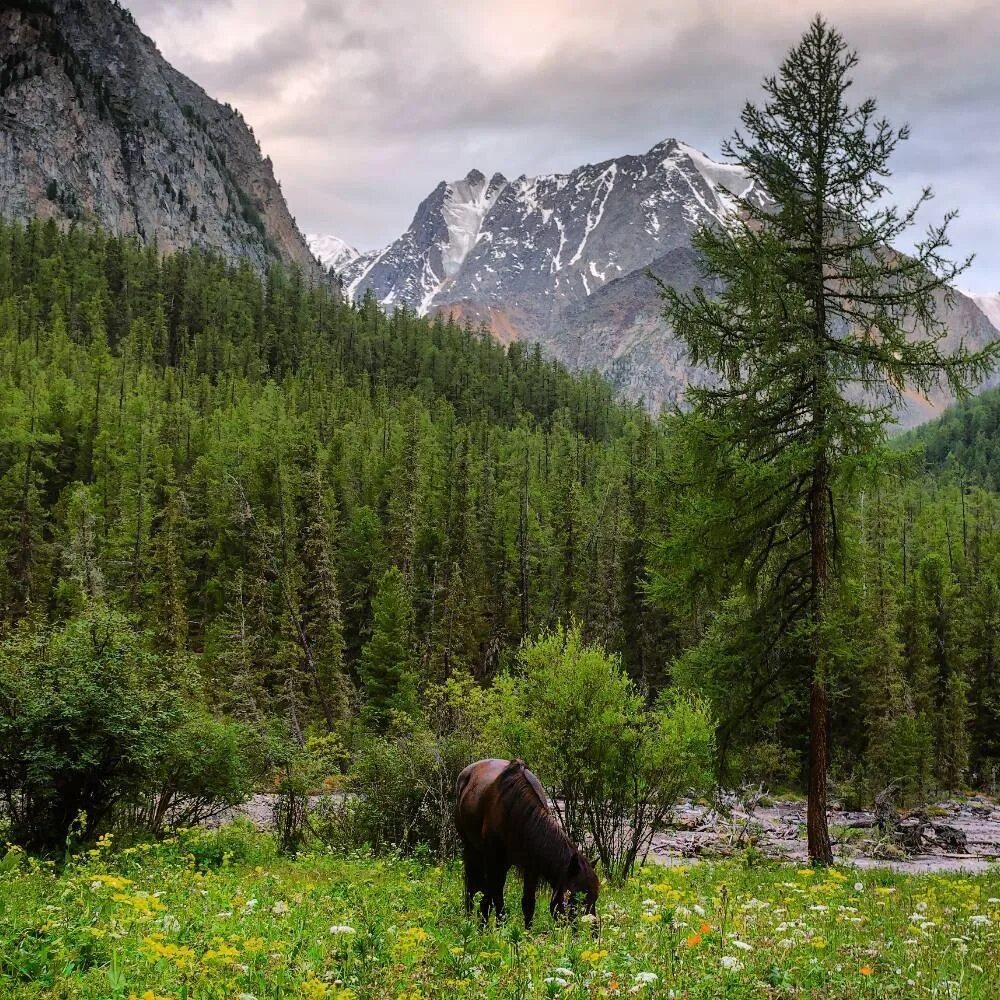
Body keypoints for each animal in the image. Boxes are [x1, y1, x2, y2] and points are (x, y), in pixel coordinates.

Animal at [456, 756, 596, 928]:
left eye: (595, 897)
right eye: (576, 898)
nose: (593, 931)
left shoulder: (531, 866)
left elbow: (527, 903)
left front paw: (524, 932)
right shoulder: (493, 861)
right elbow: (490, 897)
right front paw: (487, 927)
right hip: (472, 851)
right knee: (472, 887)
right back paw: (469, 917)